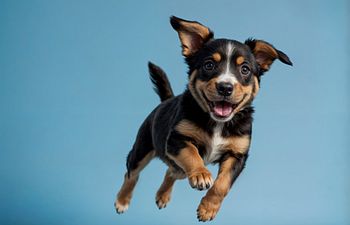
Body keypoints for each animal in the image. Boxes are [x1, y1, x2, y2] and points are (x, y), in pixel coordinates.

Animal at [115, 15, 292, 221]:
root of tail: (165, 101)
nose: (225, 87)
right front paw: (201, 174)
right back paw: (122, 201)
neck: (218, 124)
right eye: (209, 65)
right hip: (142, 148)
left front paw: (208, 209)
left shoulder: (238, 154)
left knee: (170, 171)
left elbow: (222, 184)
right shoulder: (176, 139)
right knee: (132, 173)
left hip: (178, 168)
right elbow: (192, 154)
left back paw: (162, 196)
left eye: (245, 69)